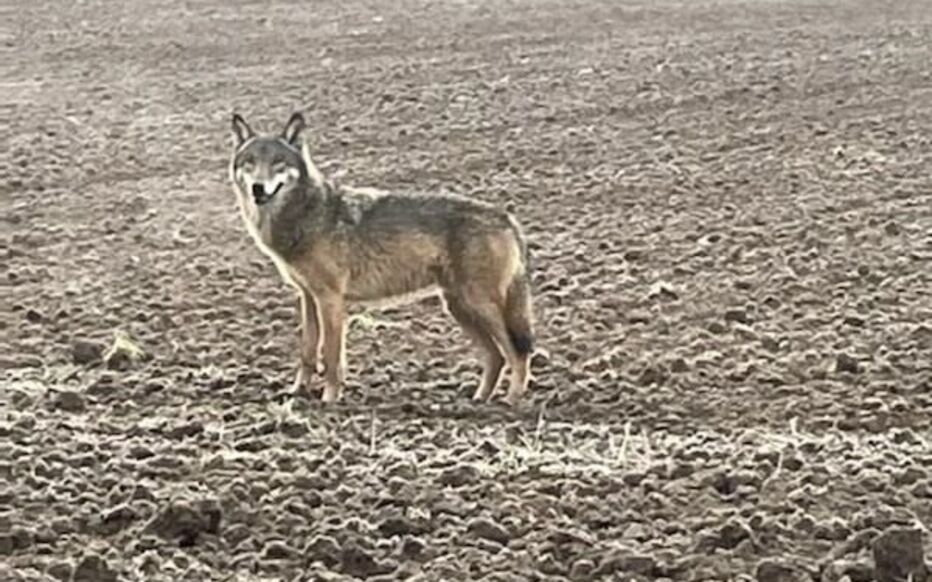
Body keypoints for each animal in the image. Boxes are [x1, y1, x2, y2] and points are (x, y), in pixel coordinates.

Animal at [228, 113, 540, 406]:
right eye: (250, 162)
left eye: (278, 163)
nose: (258, 188)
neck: (307, 213)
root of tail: (507, 217)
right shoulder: (307, 297)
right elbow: (307, 352)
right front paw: (297, 393)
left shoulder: (330, 300)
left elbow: (331, 357)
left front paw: (329, 400)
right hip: (460, 308)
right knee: (496, 357)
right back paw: (478, 400)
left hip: (480, 306)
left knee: (517, 352)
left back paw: (510, 400)